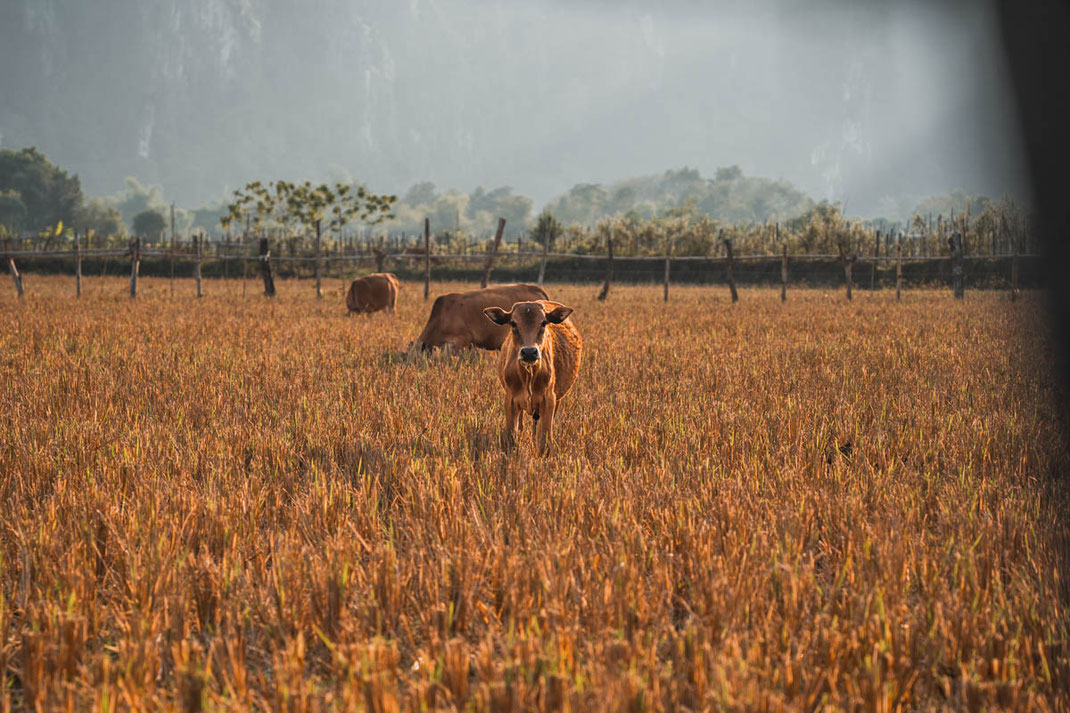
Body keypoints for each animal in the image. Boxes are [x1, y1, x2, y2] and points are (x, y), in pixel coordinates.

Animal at [485, 297, 586, 451]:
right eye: (513, 323)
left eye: (543, 322)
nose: (529, 352)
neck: (528, 375)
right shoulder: (510, 400)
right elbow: (511, 438)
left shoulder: (549, 400)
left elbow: (544, 442)